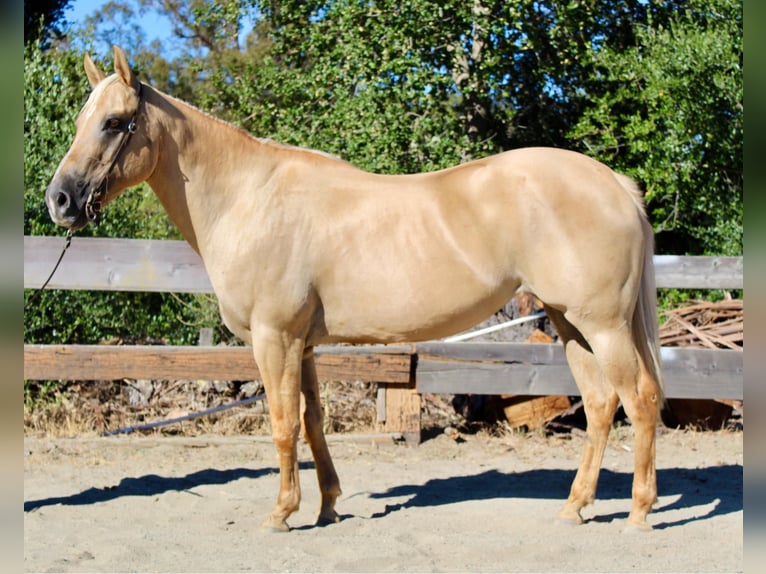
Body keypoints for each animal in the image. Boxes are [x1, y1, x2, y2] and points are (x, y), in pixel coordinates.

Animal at [45, 47, 664, 532]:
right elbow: (312, 422)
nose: (60, 201)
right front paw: (327, 507)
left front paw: (281, 513)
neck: (250, 198)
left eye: (112, 122)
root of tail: (614, 183)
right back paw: (575, 507)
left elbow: (282, 423)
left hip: (603, 324)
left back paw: (638, 512)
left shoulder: (274, 339)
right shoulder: (304, 345)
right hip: (569, 323)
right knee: (602, 404)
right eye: (79, 121)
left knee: (638, 400)